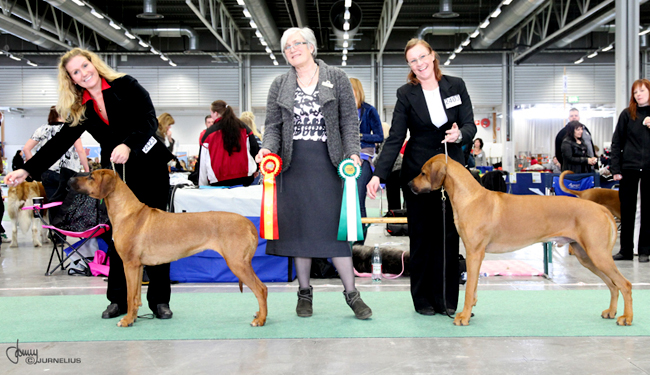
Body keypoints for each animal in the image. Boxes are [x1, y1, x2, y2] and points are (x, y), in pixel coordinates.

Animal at [68, 170, 266, 328]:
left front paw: (127, 320)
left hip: (237, 262)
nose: (70, 179)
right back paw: (259, 314)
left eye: (90, 176)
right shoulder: (138, 266)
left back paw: (261, 320)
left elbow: (130, 296)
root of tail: (248, 222)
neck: (127, 212)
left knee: (261, 289)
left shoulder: (129, 264)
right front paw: (134, 317)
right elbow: (136, 296)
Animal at [408, 154, 632, 328]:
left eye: (422, 173)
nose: (409, 185)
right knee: (613, 285)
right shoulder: (477, 256)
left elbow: (469, 288)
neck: (470, 197)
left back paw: (626, 318)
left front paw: (463, 317)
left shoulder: (474, 253)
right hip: (586, 256)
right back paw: (611, 312)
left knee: (625, 284)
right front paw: (470, 311)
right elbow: (474, 288)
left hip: (597, 254)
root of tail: (601, 209)